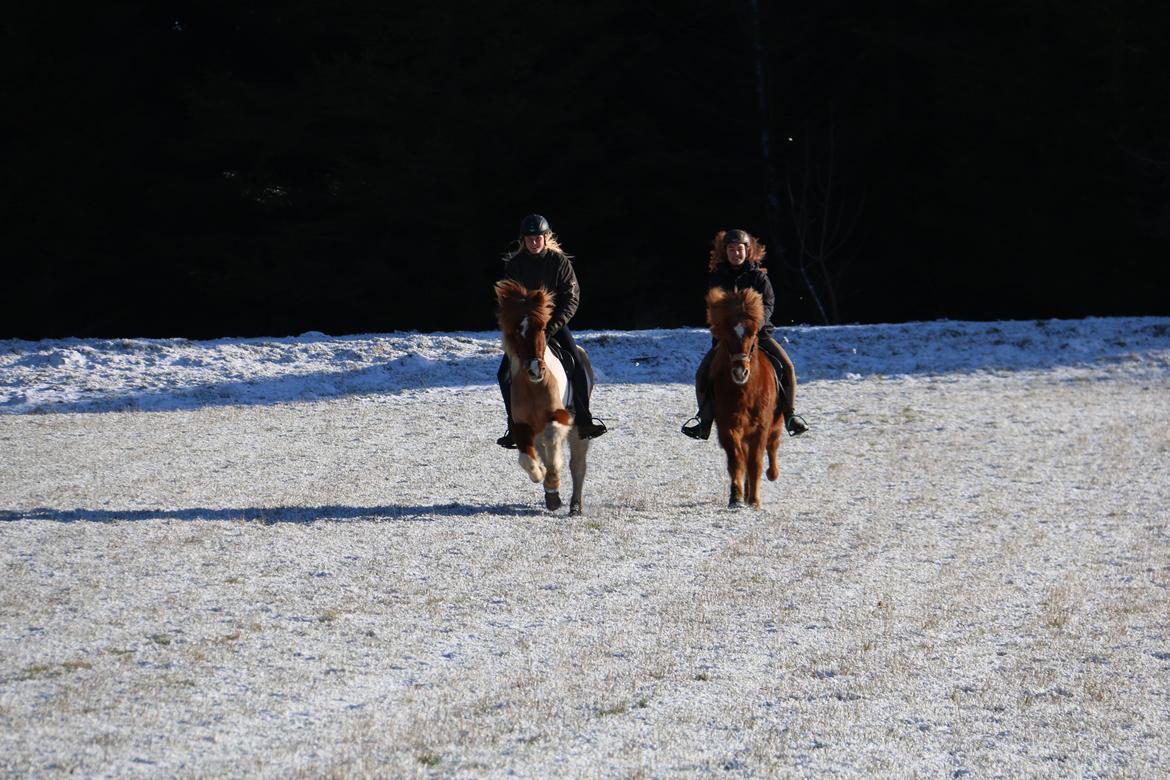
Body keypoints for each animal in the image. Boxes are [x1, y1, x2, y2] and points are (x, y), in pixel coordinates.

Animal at [491, 281, 589, 519]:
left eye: (543, 327)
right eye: (517, 331)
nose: (536, 369)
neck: (533, 386)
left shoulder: (560, 417)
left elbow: (554, 445)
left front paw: (552, 479)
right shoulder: (521, 426)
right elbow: (527, 459)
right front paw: (542, 477)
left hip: (580, 430)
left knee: (577, 465)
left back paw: (575, 506)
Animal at [706, 285, 781, 507]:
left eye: (754, 333)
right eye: (726, 334)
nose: (740, 372)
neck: (745, 391)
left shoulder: (762, 426)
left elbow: (755, 461)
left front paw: (755, 501)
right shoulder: (728, 425)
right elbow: (736, 460)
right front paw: (736, 497)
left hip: (776, 422)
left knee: (773, 445)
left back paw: (772, 474)